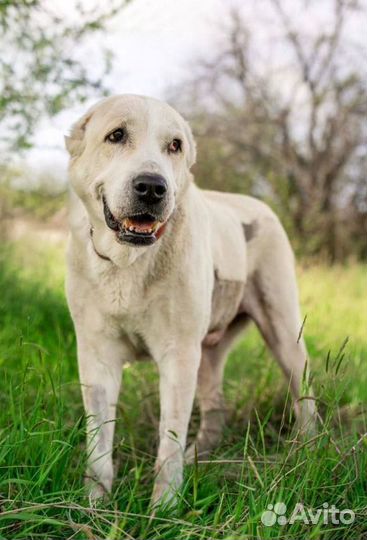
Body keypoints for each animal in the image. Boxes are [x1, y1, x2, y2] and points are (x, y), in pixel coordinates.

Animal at [65, 96, 316, 506]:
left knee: (304, 394)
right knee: (216, 408)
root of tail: (259, 205)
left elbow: (169, 439)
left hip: (283, 332)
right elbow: (99, 442)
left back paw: (308, 451)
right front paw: (93, 505)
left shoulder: (178, 355)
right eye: (116, 135)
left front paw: (163, 508)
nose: (152, 187)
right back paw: (199, 456)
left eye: (175, 146)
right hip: (208, 355)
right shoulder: (97, 356)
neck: (128, 262)